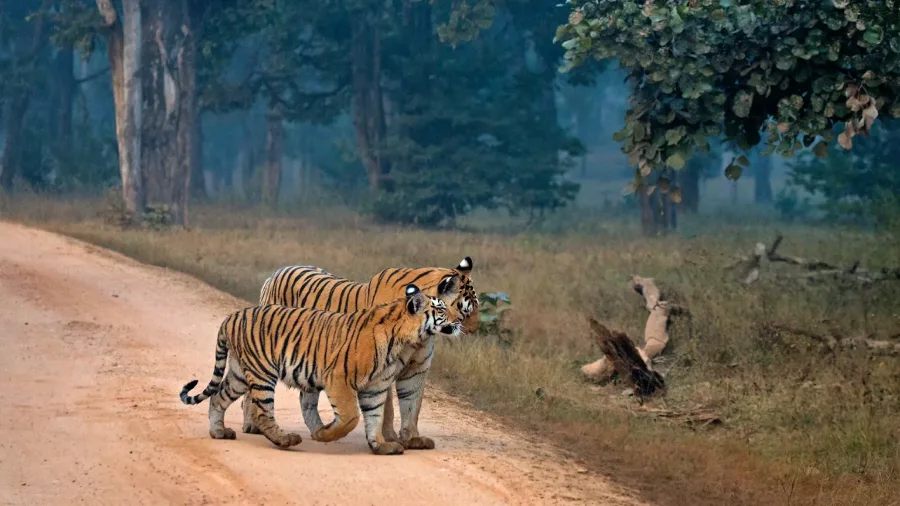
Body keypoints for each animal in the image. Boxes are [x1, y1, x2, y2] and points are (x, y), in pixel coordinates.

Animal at [179, 281, 461, 455]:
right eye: (441, 309)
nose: (460, 320)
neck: (404, 341)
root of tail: (232, 316)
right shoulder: (339, 379)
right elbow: (351, 417)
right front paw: (324, 435)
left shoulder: (376, 386)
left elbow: (375, 416)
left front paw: (380, 446)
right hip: (261, 372)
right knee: (261, 412)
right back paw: (285, 439)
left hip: (239, 373)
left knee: (217, 397)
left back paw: (218, 432)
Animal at [249, 256, 479, 450]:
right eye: (467, 311)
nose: (474, 331)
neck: (422, 334)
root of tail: (277, 271)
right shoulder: (386, 366)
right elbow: (387, 408)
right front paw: (389, 437)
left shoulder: (416, 369)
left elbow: (412, 405)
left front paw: (413, 439)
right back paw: (252, 427)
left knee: (306, 398)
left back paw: (318, 430)